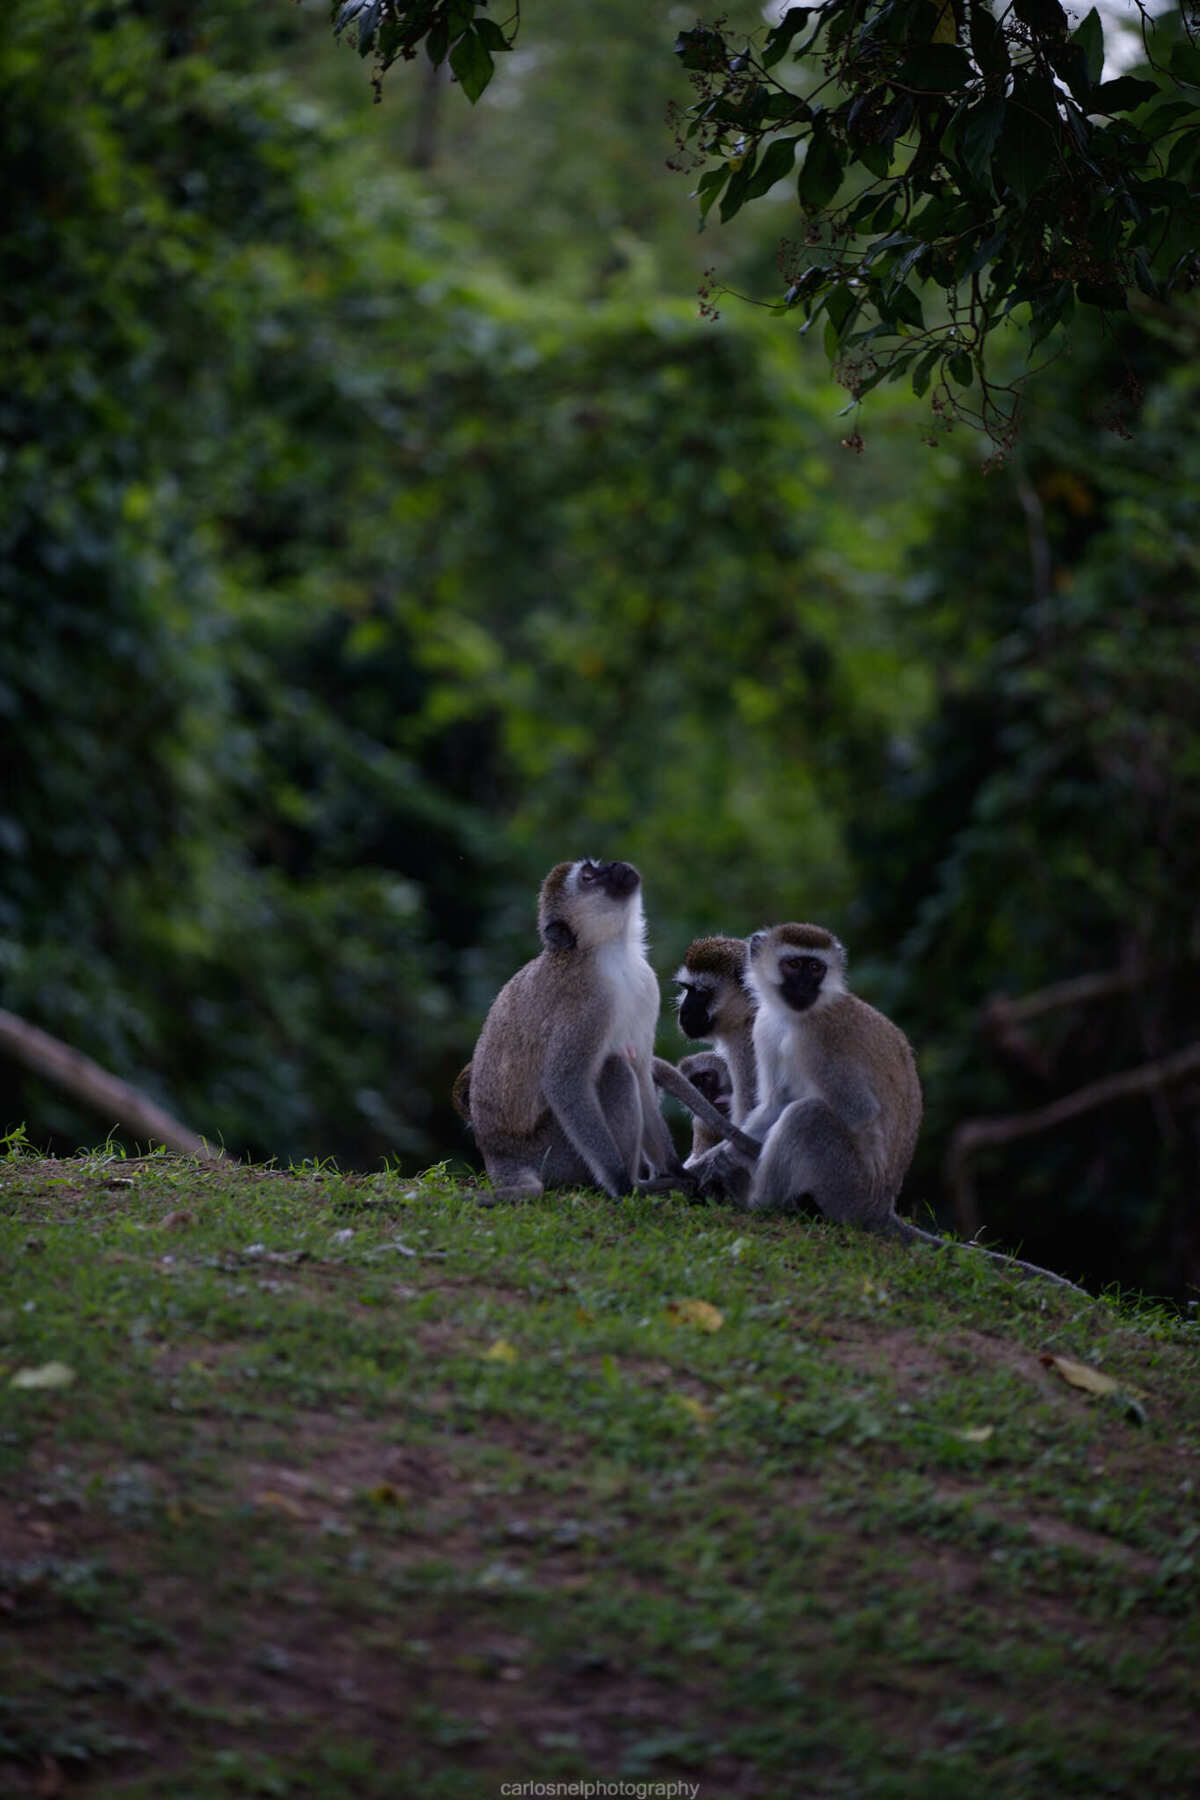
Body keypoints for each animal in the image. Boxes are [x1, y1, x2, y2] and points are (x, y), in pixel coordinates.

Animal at [690, 921, 1086, 1288]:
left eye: (815, 968)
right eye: (793, 965)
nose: (805, 987)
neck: (792, 1017)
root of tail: (882, 1206)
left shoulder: (821, 1040)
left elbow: (856, 1112)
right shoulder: (764, 1029)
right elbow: (773, 1103)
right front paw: (719, 1156)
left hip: (847, 1185)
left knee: (809, 1116)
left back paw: (759, 1201)